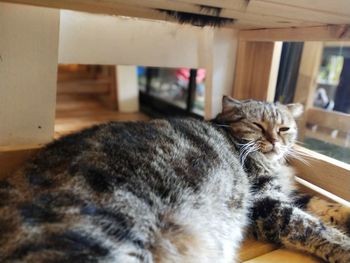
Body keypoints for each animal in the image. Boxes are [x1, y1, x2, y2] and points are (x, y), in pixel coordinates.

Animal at [0, 97, 348, 263]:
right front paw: (343, 247)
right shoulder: (267, 204)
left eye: (284, 128)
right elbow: (312, 226)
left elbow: (320, 204)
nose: (275, 140)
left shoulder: (284, 195)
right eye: (256, 125)